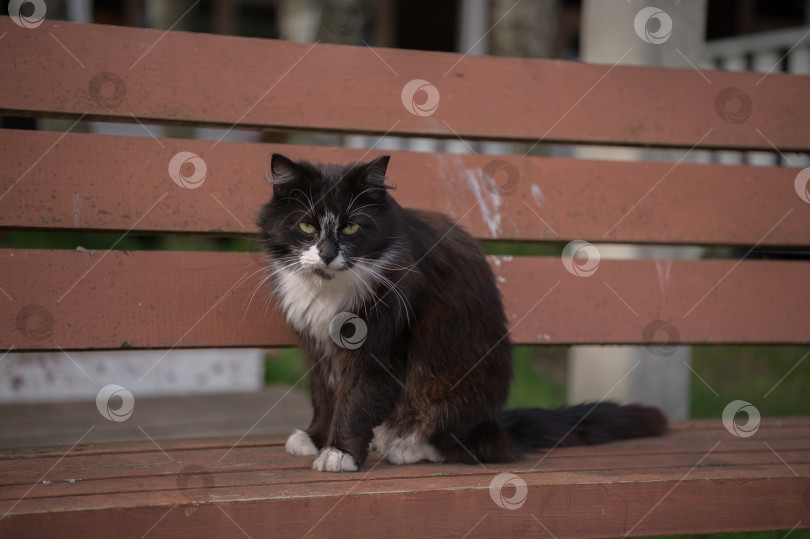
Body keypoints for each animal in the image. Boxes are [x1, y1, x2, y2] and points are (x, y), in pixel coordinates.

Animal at [256, 153, 664, 472]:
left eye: (352, 226)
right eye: (306, 225)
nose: (327, 254)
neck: (328, 288)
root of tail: (496, 423)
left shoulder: (379, 342)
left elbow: (355, 398)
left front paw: (339, 453)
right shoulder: (317, 345)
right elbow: (324, 395)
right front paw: (315, 439)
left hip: (453, 381)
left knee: (466, 443)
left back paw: (405, 446)